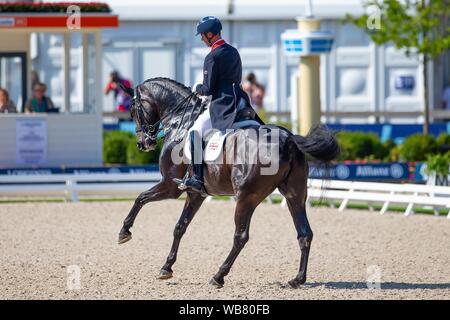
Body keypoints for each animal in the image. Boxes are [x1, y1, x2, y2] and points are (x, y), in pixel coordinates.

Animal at [116, 77, 338, 288]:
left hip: (246, 197)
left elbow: (140, 198)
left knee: (241, 236)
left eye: (132, 111)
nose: (143, 143)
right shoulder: (195, 194)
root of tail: (288, 139)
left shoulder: (170, 186)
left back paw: (218, 276)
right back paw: (297, 279)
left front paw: (124, 232)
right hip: (294, 195)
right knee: (304, 233)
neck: (180, 120)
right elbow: (180, 227)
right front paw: (166, 267)